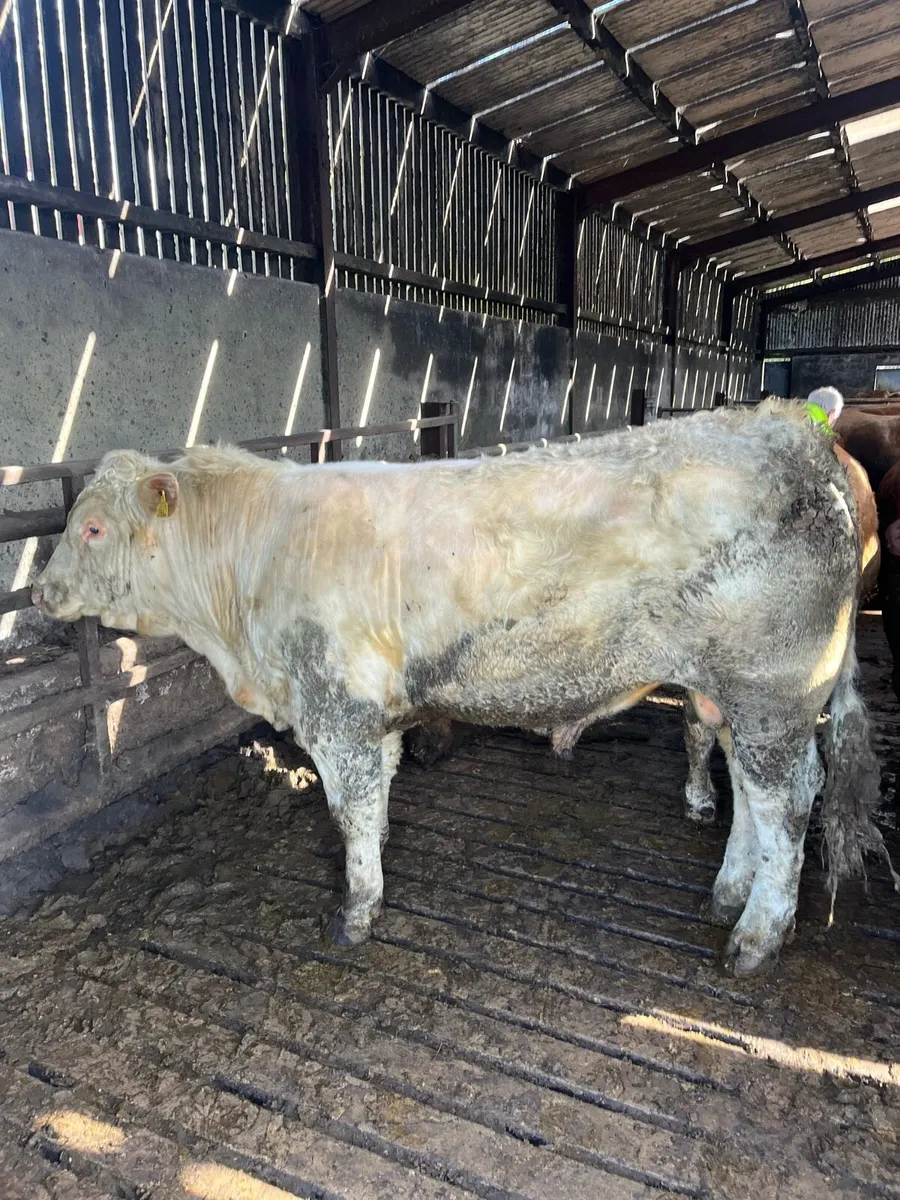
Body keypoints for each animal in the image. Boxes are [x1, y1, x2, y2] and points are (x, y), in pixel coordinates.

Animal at [32, 400, 889, 976]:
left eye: (93, 529)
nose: (40, 593)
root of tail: (798, 433)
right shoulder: (372, 719)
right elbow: (376, 802)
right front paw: (374, 876)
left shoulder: (336, 711)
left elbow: (350, 811)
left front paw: (356, 911)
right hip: (735, 696)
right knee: (750, 792)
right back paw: (728, 894)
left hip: (774, 691)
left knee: (786, 802)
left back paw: (756, 936)